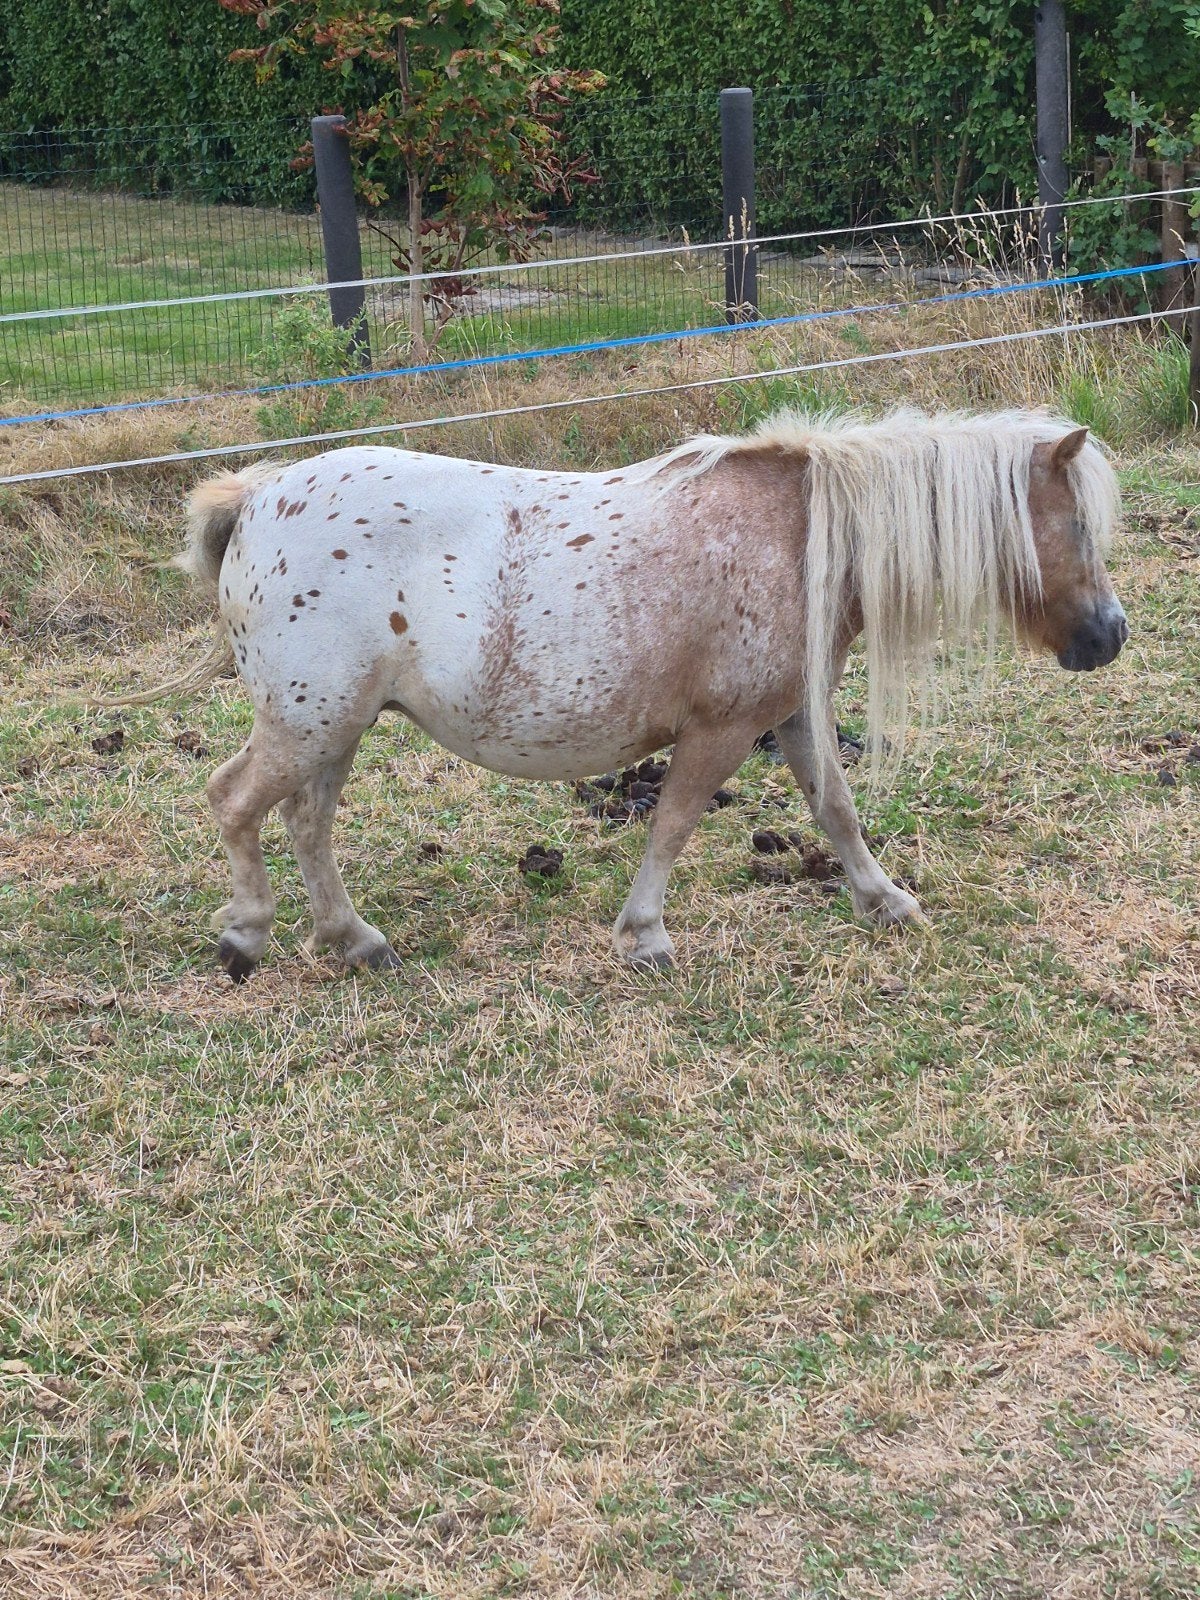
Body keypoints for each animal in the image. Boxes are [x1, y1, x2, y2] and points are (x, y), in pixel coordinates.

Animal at [128, 407, 1126, 981]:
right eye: (1075, 524)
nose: (1110, 636)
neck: (797, 540)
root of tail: (256, 499)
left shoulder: (793, 714)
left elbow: (835, 811)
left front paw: (884, 901)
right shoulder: (723, 730)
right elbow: (675, 823)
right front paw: (643, 935)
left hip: (333, 727)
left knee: (306, 822)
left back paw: (353, 939)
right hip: (309, 722)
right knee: (235, 803)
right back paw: (247, 935)